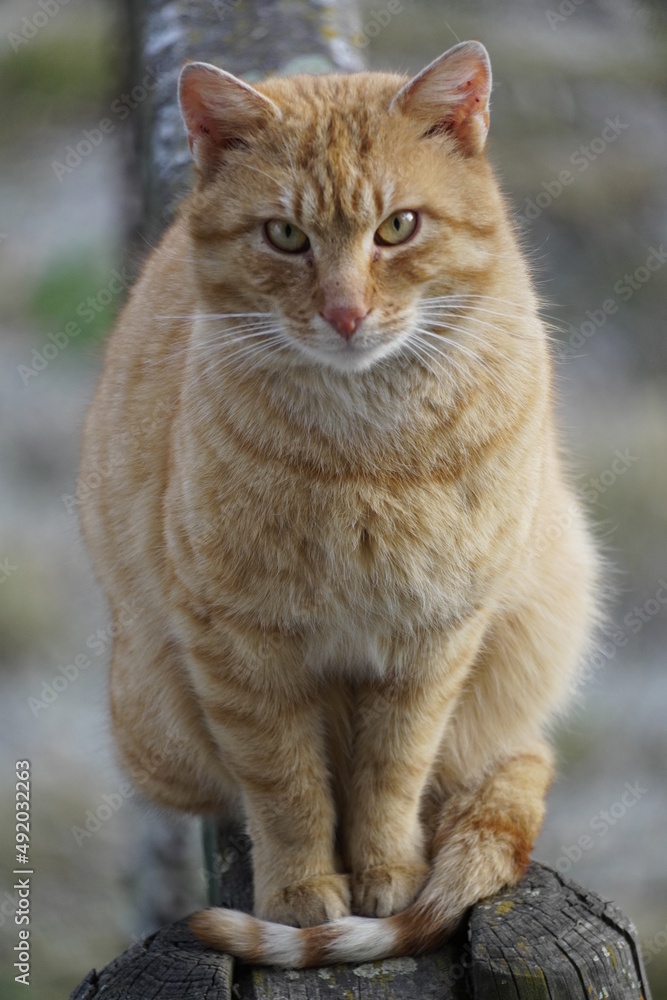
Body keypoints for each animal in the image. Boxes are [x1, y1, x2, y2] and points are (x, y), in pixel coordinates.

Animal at [78, 43, 600, 964]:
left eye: (397, 227)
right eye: (285, 236)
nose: (345, 312)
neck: (365, 450)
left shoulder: (433, 637)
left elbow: (392, 773)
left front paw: (387, 871)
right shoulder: (239, 644)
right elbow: (284, 785)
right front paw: (302, 892)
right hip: (157, 729)